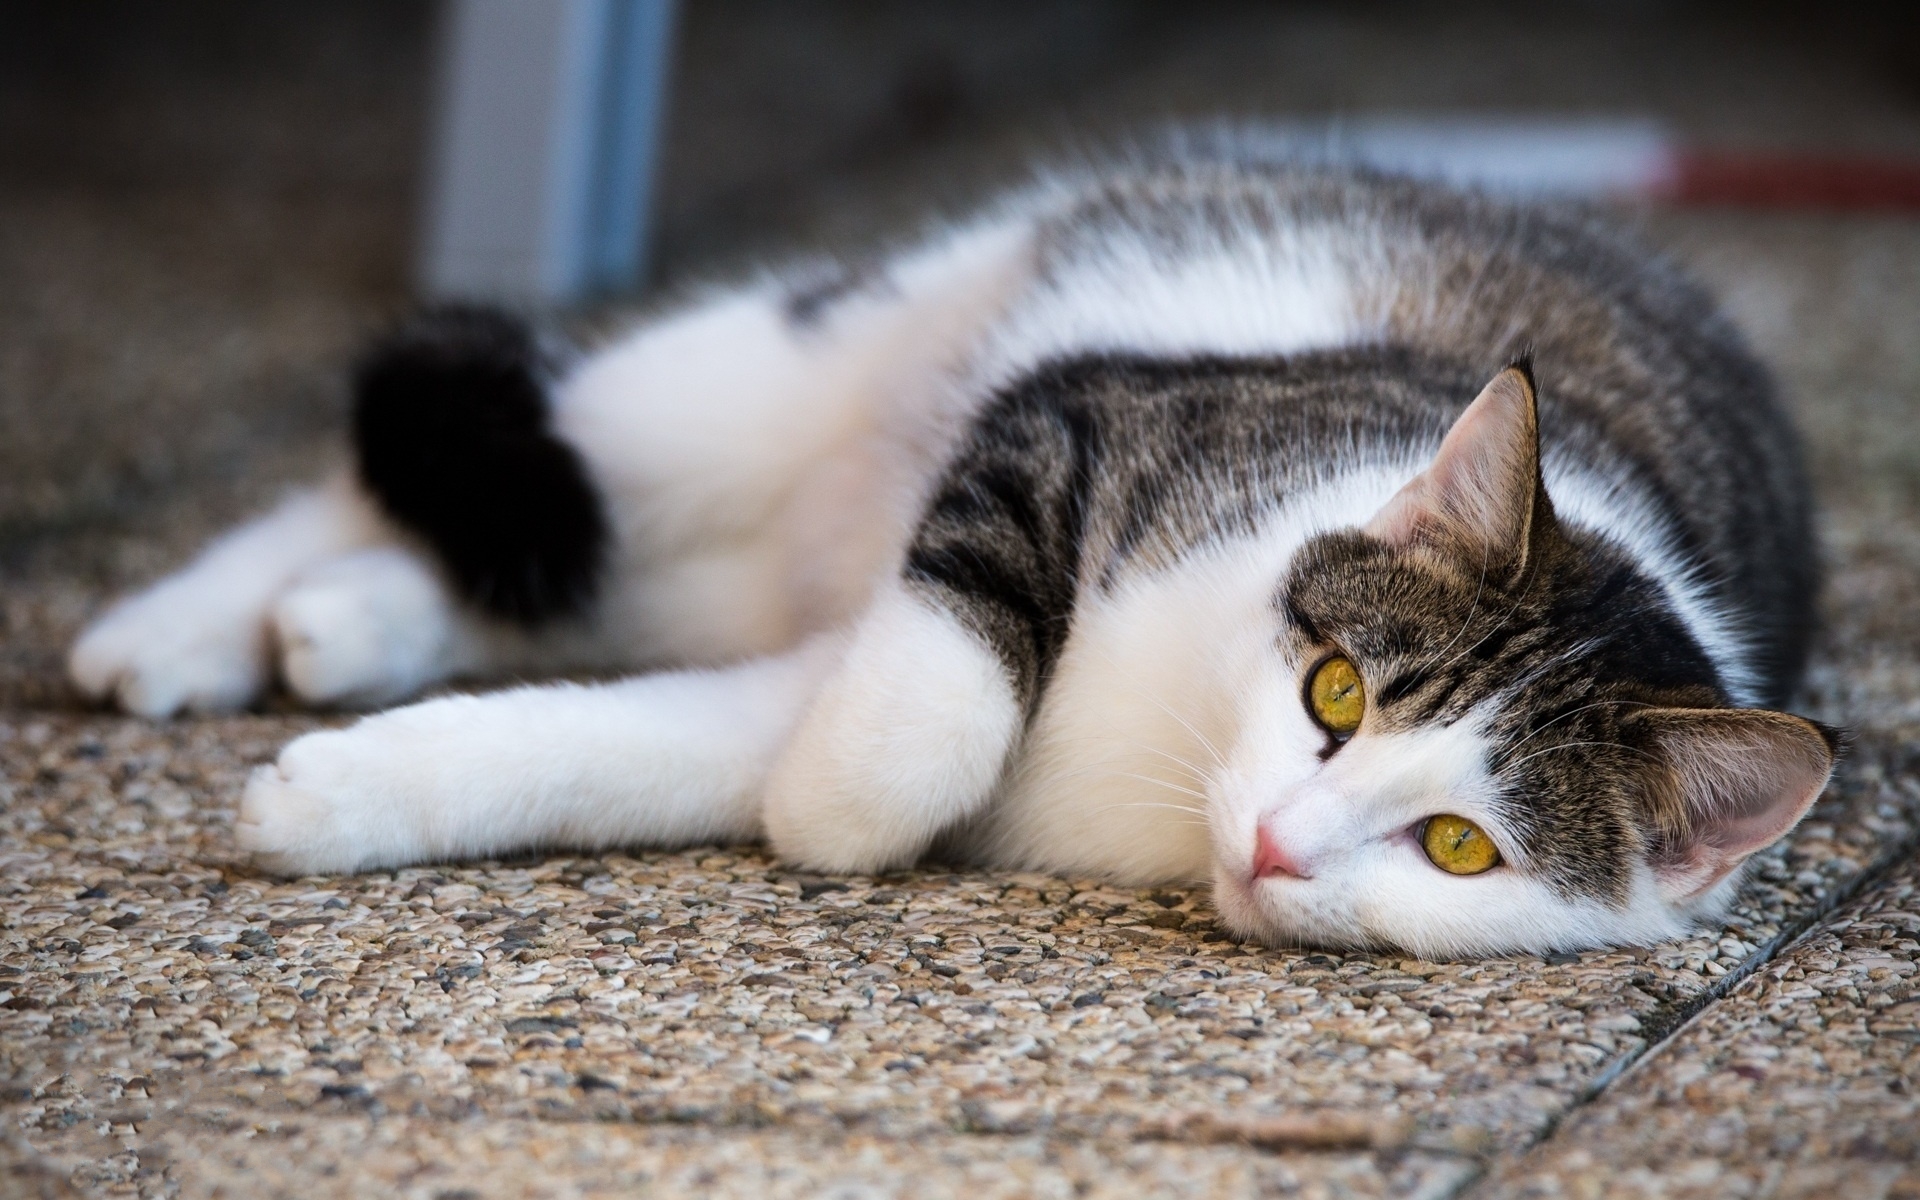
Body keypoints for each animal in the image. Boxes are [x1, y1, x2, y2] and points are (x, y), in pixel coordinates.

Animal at [67, 156, 1835, 956]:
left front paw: (347, 794)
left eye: (1461, 848)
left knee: (570, 577)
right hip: (783, 371)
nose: (1277, 842)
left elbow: (646, 740)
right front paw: (841, 799)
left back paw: (351, 623)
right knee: (514, 458)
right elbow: (925, 708)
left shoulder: (813, 653)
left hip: (750, 543)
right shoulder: (1069, 415)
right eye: (1334, 692)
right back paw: (182, 624)